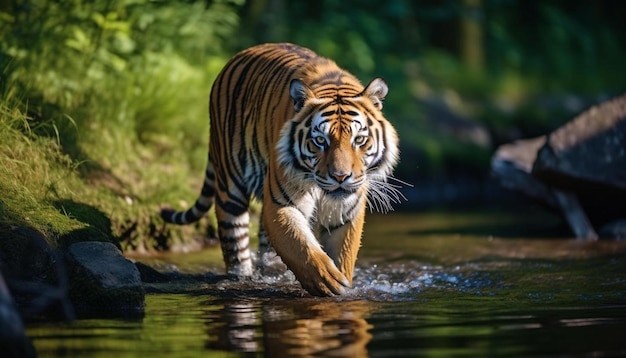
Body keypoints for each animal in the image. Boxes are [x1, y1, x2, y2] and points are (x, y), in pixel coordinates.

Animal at [161, 43, 400, 296]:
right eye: (320, 140)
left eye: (359, 139)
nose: (340, 177)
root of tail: (239, 55)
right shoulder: (281, 203)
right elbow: (298, 244)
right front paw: (326, 280)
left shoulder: (345, 211)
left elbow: (342, 254)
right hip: (230, 188)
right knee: (235, 246)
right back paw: (241, 276)